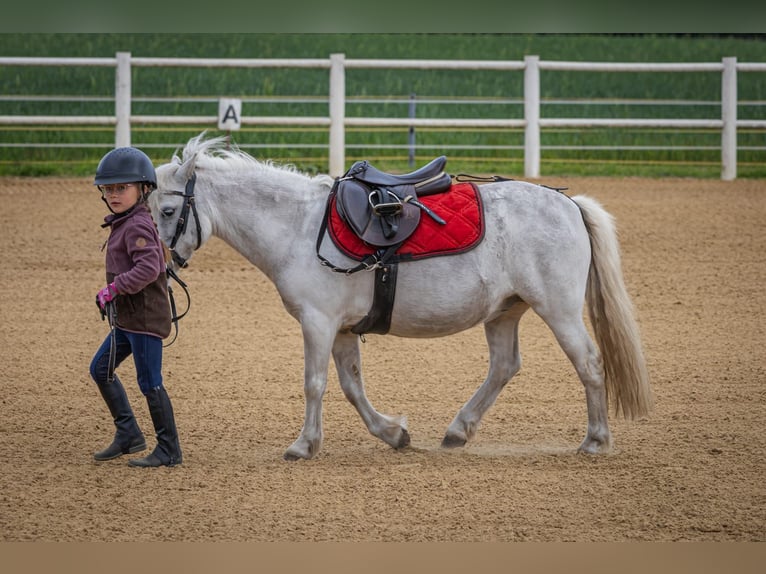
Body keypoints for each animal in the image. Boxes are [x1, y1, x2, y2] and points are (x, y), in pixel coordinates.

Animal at [149, 132, 651, 461]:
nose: (163, 266)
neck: (299, 226)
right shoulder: (341, 329)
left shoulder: (317, 321)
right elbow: (352, 387)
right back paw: (458, 431)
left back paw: (596, 440)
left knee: (589, 363)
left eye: (168, 210)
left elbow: (315, 383)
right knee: (505, 367)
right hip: (504, 312)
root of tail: (568, 203)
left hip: (559, 310)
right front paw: (393, 434)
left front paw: (303, 445)